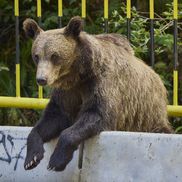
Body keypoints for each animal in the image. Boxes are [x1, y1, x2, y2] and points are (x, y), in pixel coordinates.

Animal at [23, 16, 173, 171]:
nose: (41, 79)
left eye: (54, 56)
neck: (79, 74)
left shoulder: (101, 82)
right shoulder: (68, 92)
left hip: (147, 116)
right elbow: (55, 116)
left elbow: (97, 113)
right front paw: (31, 158)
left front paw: (56, 161)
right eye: (36, 56)